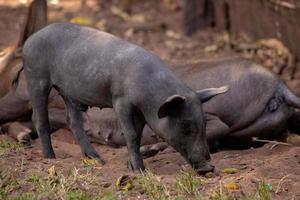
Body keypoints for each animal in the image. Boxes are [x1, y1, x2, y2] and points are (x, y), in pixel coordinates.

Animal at [21, 22, 227, 173]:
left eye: (204, 122)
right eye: (185, 125)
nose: (209, 167)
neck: (150, 95)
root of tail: (29, 41)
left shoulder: (140, 112)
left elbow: (137, 134)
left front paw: (131, 167)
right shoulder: (120, 102)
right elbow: (131, 134)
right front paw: (140, 171)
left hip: (66, 92)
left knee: (72, 121)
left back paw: (97, 160)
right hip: (36, 77)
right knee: (39, 118)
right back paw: (50, 158)